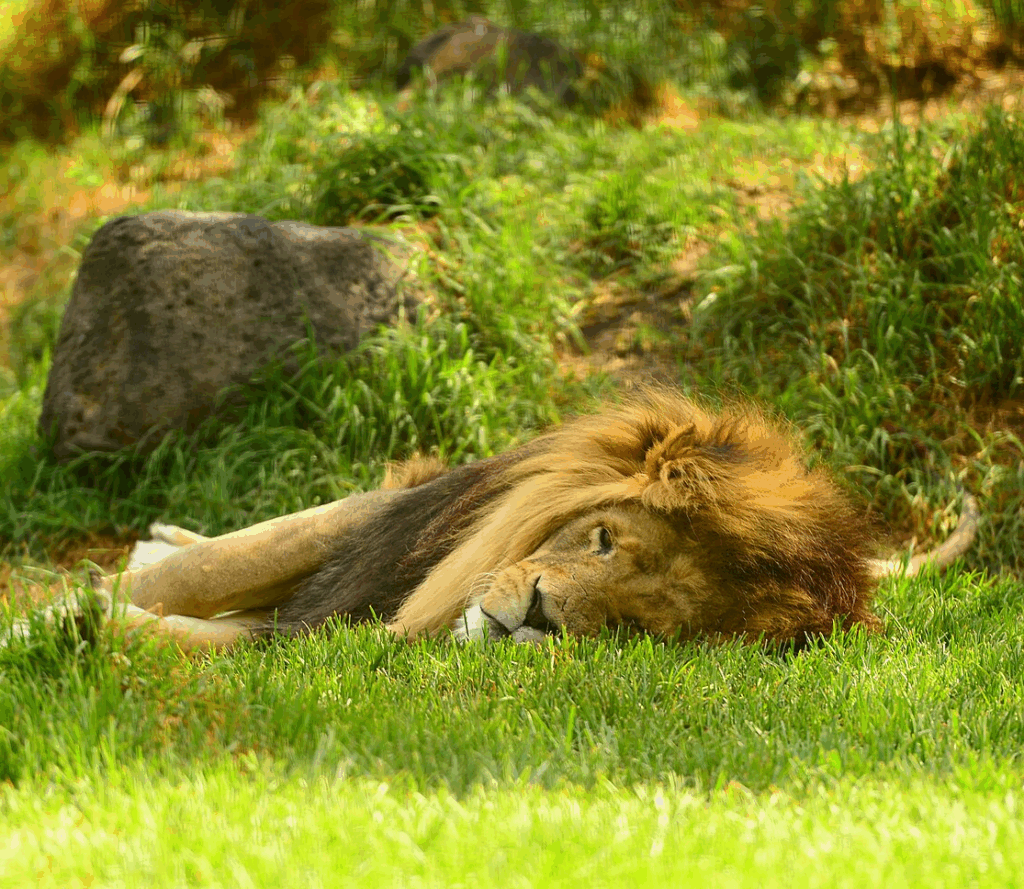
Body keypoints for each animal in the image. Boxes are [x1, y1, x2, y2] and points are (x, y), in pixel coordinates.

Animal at [6, 390, 978, 652]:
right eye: (602, 536)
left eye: (641, 625)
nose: (540, 614)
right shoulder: (375, 528)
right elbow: (201, 575)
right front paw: (49, 612)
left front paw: (75, 623)